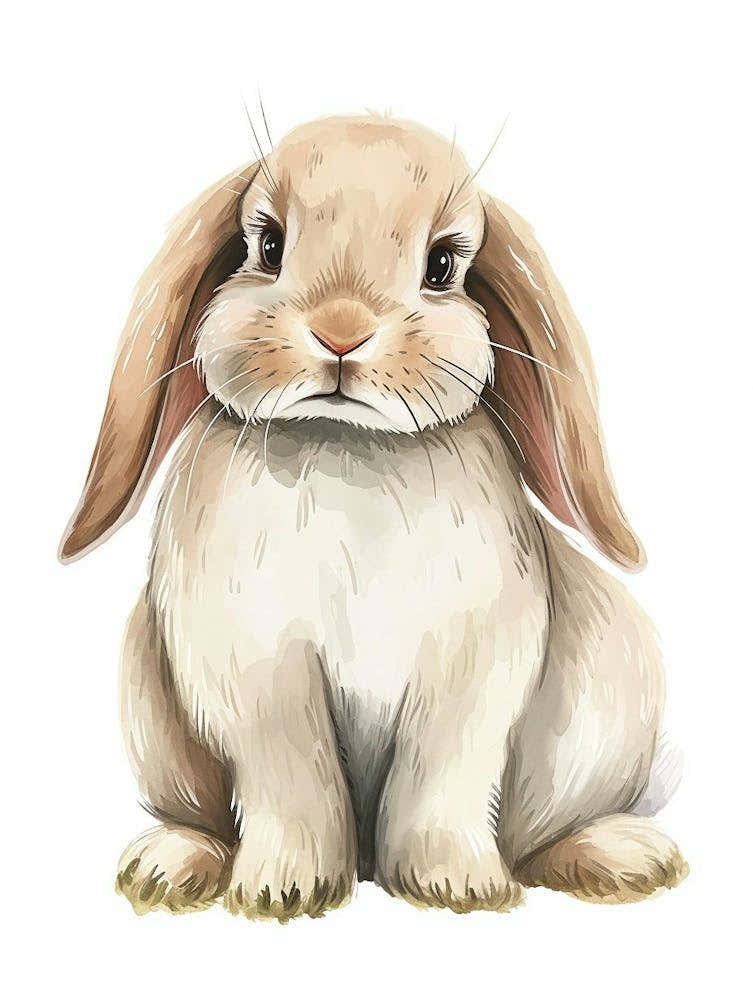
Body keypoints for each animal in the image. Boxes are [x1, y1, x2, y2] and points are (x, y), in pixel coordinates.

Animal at [60, 114, 687, 920]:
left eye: (443, 265)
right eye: (267, 245)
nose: (340, 333)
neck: (346, 444)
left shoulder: (470, 674)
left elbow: (438, 779)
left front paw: (456, 887)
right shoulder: (260, 676)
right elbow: (293, 779)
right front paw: (283, 890)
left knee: (539, 838)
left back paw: (625, 860)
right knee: (204, 819)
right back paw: (168, 867)